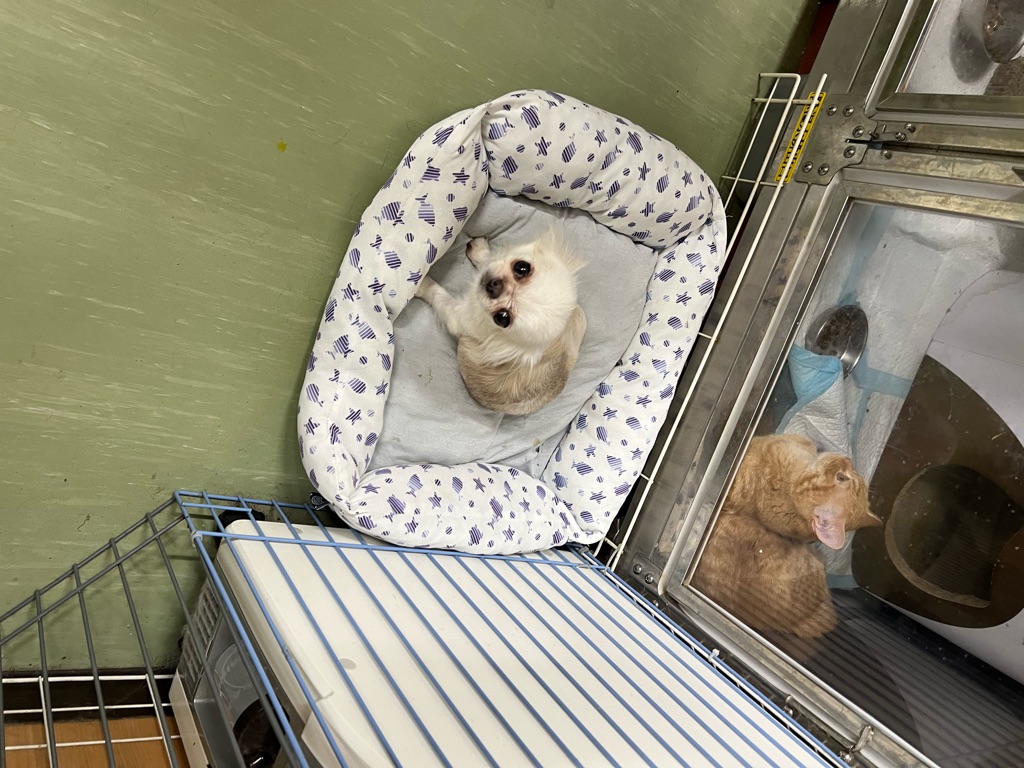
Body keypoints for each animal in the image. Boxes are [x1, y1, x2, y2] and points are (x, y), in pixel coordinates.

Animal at [415, 230, 587, 415]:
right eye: (522, 268)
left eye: (502, 318)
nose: (494, 286)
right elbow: (487, 260)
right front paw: (480, 251)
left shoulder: (460, 317)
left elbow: (438, 295)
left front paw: (422, 285)